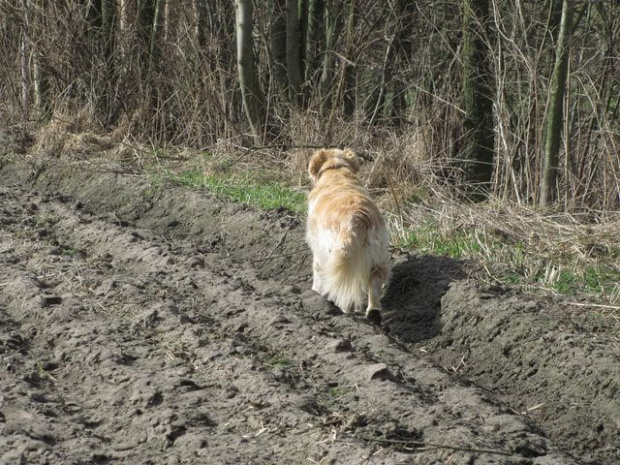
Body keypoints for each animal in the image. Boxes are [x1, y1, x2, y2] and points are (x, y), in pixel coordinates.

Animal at [306, 148, 390, 322]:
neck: (336, 171)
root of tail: (359, 216)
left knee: (346, 289)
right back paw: (373, 314)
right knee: (374, 284)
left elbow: (317, 273)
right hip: (377, 257)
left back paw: (345, 311)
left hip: (339, 255)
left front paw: (314, 294)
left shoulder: (318, 250)